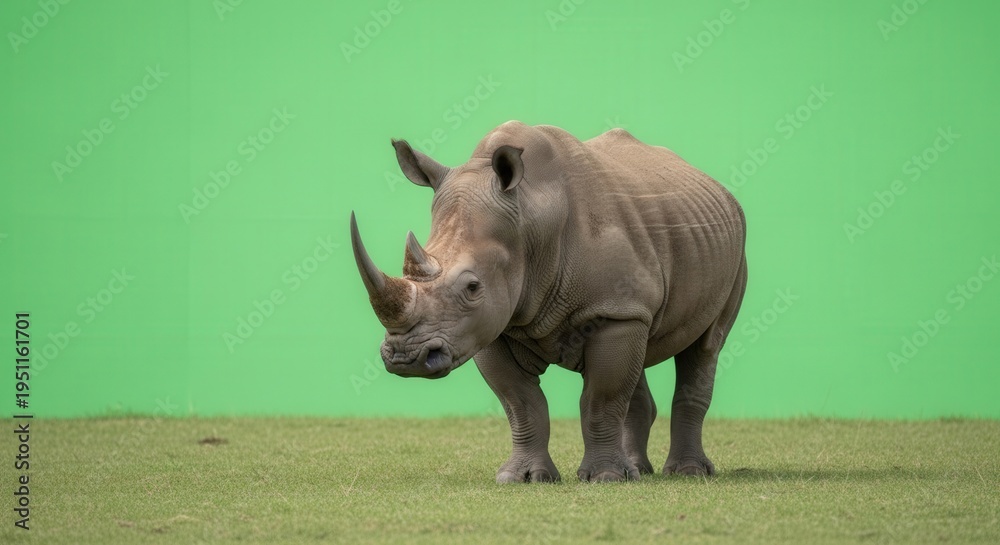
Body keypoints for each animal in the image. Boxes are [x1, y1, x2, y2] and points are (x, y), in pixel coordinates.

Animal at [350, 121, 747, 482]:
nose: (406, 358)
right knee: (642, 350)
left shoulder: (613, 310)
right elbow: (521, 403)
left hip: (734, 251)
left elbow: (601, 399)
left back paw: (686, 473)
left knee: (706, 345)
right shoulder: (493, 327)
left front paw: (605, 478)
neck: (530, 219)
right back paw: (638, 471)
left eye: (473, 287)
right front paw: (523, 478)